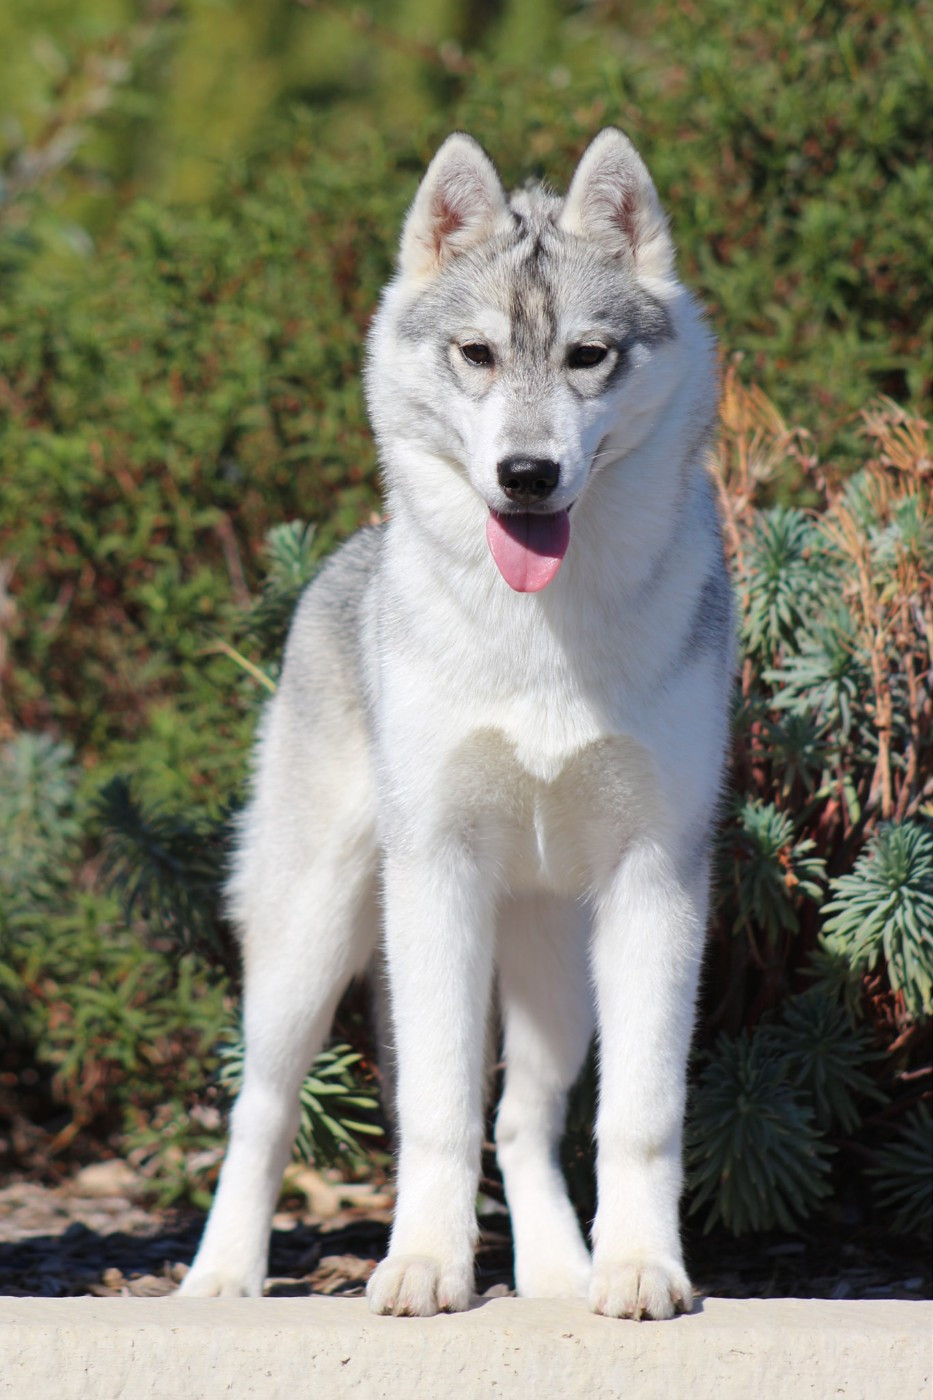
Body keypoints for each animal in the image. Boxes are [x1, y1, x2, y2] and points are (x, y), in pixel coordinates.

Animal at [180, 128, 734, 1320]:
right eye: (476, 354)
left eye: (587, 356)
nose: (527, 474)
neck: (542, 639)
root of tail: (342, 562)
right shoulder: (434, 877)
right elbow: (436, 1112)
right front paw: (427, 1267)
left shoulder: (657, 883)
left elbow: (638, 1118)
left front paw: (639, 1269)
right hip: (312, 943)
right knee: (262, 1109)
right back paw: (221, 1276)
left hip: (558, 976)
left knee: (525, 1121)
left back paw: (560, 1275)